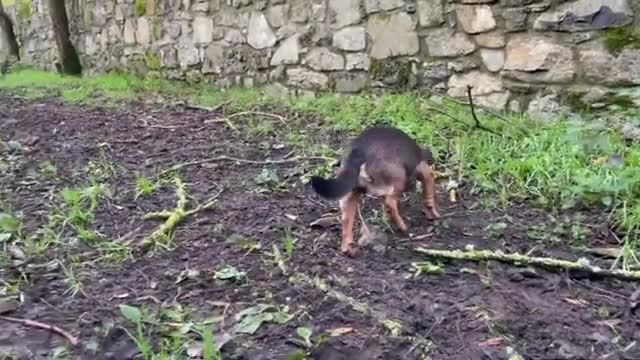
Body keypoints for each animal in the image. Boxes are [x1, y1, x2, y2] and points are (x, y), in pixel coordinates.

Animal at [310, 126, 440, 256]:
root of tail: (358, 150)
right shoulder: (427, 173)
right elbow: (429, 196)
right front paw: (434, 213)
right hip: (398, 180)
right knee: (391, 202)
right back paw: (403, 226)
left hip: (352, 192)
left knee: (346, 218)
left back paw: (348, 248)